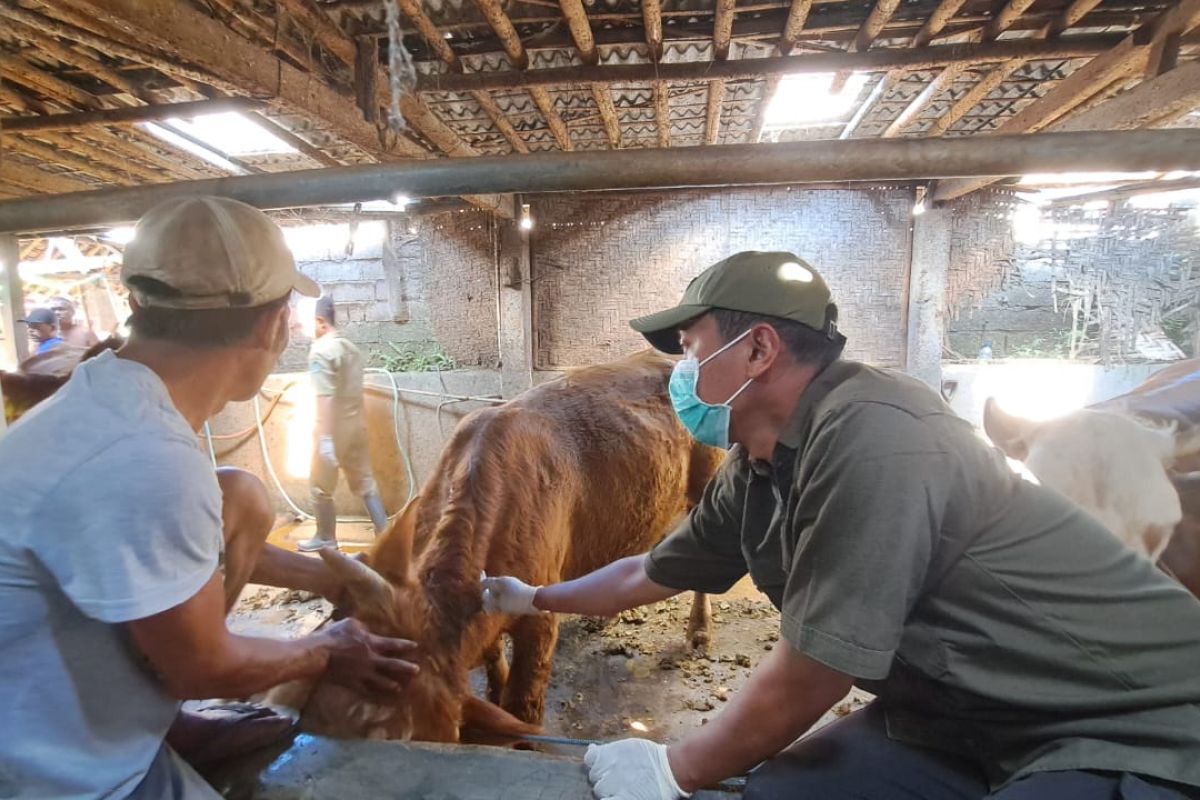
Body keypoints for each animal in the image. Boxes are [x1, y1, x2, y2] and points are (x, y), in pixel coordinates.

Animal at [274, 350, 720, 743]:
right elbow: (491, 657)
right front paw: (493, 687)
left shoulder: (540, 618)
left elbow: (524, 705)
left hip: (706, 480)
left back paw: (699, 631)